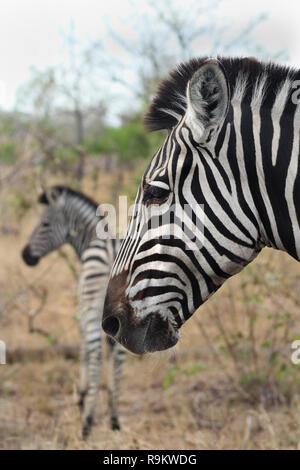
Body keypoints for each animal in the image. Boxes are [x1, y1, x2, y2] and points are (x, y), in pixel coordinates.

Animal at [21, 186, 124, 436]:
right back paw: (115, 420)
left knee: (95, 356)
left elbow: (84, 349)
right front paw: (108, 409)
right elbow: (111, 355)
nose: (24, 256)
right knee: (118, 360)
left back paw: (87, 422)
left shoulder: (82, 311)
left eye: (45, 223)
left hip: (91, 307)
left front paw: (82, 398)